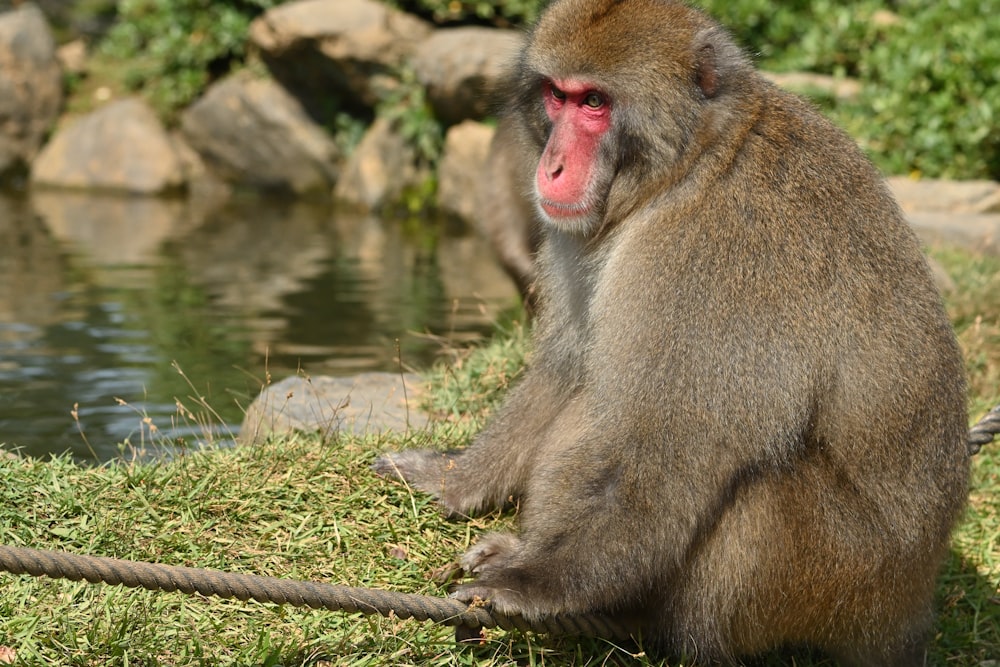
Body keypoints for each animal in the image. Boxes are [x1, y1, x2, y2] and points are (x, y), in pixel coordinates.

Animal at [376, 1, 968, 664]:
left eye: (595, 103)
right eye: (557, 95)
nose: (550, 166)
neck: (692, 163)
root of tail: (908, 608)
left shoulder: (709, 253)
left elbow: (669, 444)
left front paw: (538, 582)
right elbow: (565, 371)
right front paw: (453, 479)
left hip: (840, 577)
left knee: (747, 495)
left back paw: (632, 611)